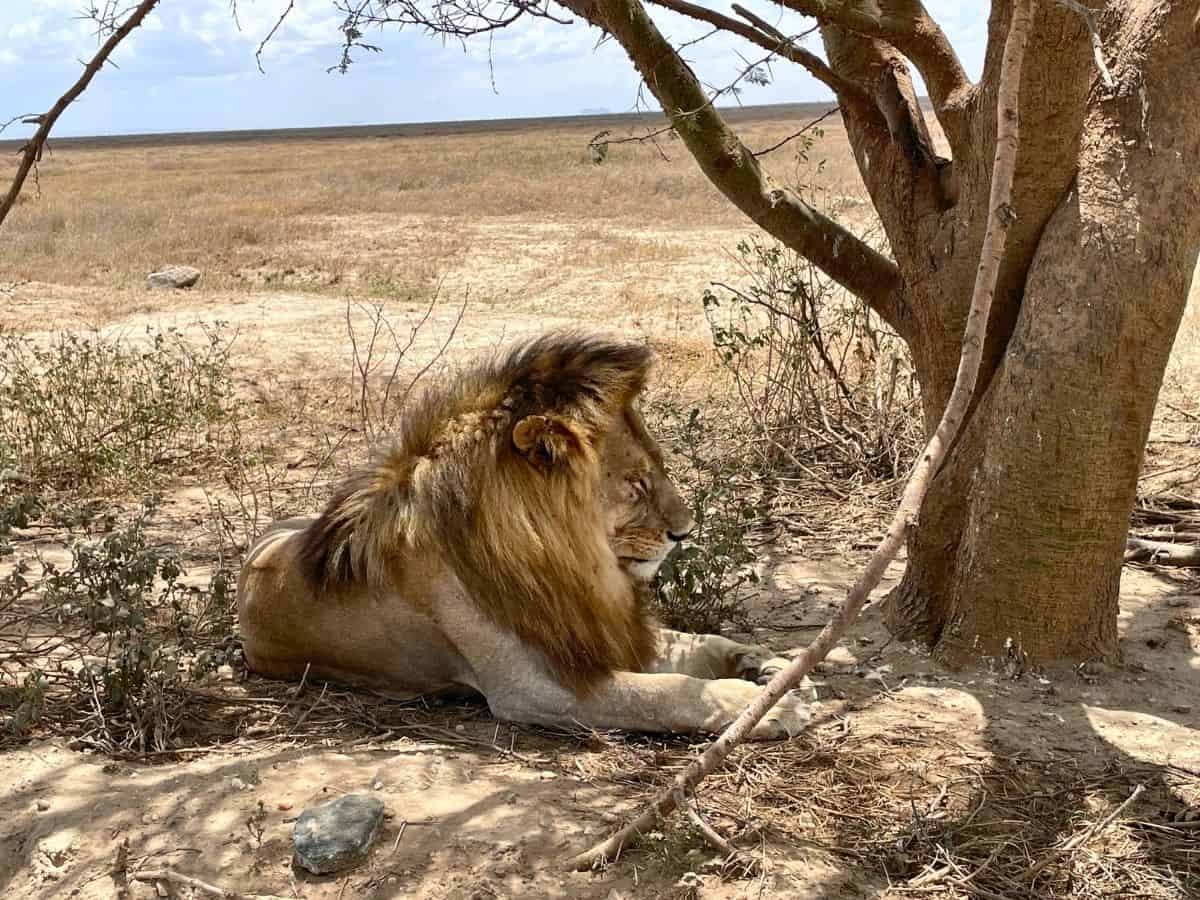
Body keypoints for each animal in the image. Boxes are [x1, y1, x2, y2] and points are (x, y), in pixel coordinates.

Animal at [237, 332, 808, 739]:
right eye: (637, 483)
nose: (684, 533)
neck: (567, 560)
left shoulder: (594, 627)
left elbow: (696, 644)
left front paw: (764, 664)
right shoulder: (534, 687)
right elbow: (666, 691)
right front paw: (764, 706)